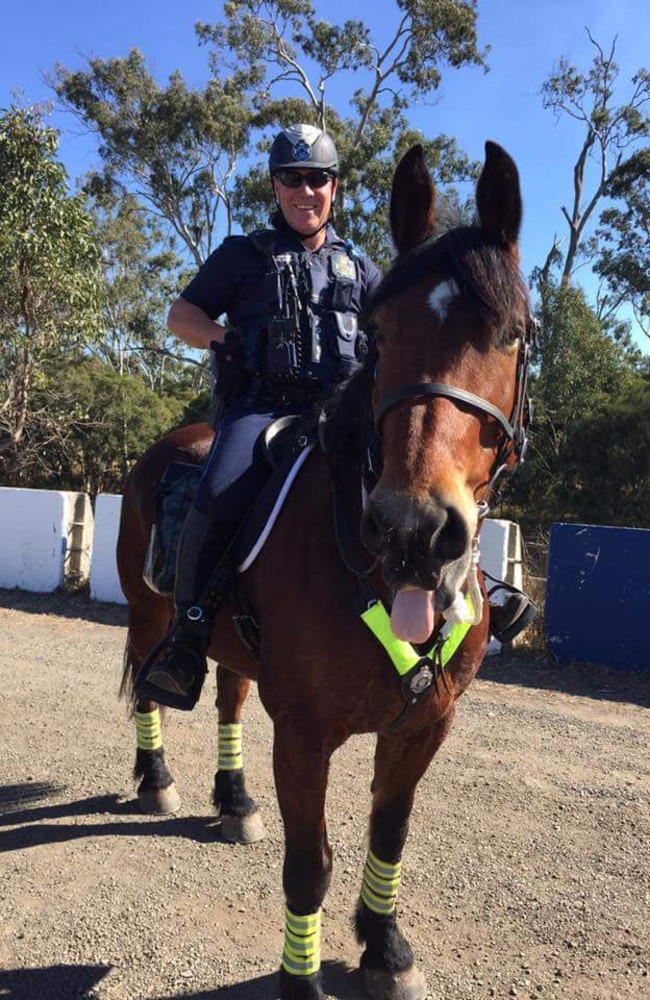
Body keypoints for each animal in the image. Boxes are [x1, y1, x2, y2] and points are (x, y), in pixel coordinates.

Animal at [116, 141, 532, 1000]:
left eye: (511, 334)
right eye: (378, 332)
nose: (414, 528)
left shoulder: (425, 724)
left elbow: (389, 832)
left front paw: (385, 945)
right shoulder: (305, 734)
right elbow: (308, 866)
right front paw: (304, 977)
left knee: (229, 698)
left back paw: (233, 798)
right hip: (148, 612)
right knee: (148, 682)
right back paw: (157, 776)